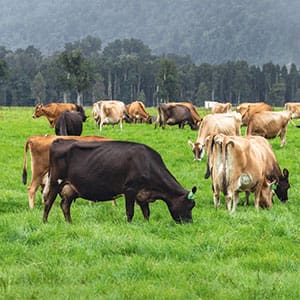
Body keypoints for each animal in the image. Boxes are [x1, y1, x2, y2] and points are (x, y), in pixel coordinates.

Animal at [42, 139, 197, 224]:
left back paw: (70, 223)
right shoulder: (130, 189)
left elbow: (146, 212)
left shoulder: (143, 194)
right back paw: (45, 222)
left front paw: (147, 224)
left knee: (64, 205)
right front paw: (129, 225)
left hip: (70, 188)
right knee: (48, 202)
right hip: (55, 181)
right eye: (190, 206)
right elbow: (130, 212)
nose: (189, 223)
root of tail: (59, 140)